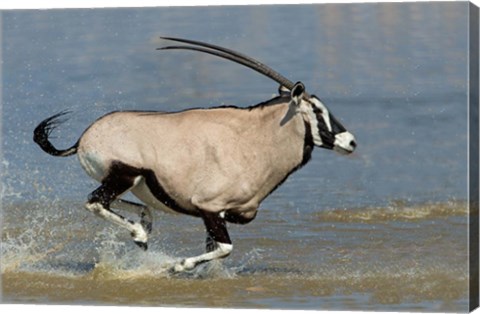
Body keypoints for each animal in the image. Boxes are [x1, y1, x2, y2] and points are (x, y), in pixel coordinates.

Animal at [32, 36, 356, 272]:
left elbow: (215, 251)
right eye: (317, 111)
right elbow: (225, 248)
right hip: (124, 175)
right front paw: (177, 266)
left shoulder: (220, 215)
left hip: (129, 182)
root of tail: (85, 137)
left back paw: (144, 228)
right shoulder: (210, 208)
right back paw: (140, 234)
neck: (253, 139)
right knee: (94, 202)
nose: (350, 142)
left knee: (126, 204)